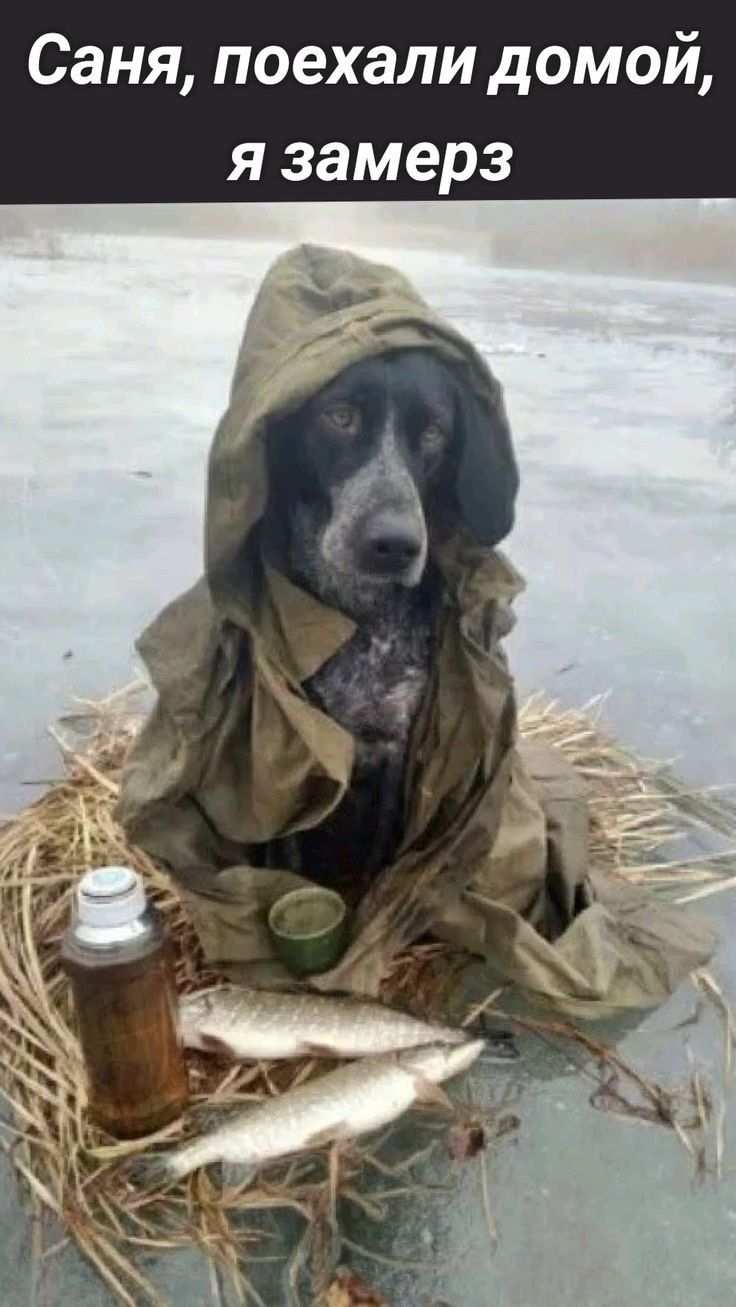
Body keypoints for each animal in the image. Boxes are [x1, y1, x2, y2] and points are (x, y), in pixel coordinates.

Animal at [256, 342, 515, 904]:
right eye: (340, 416)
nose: (394, 545)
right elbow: (288, 857)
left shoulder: (398, 750)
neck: (361, 614)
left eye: (434, 432)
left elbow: (380, 857)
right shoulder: (296, 749)